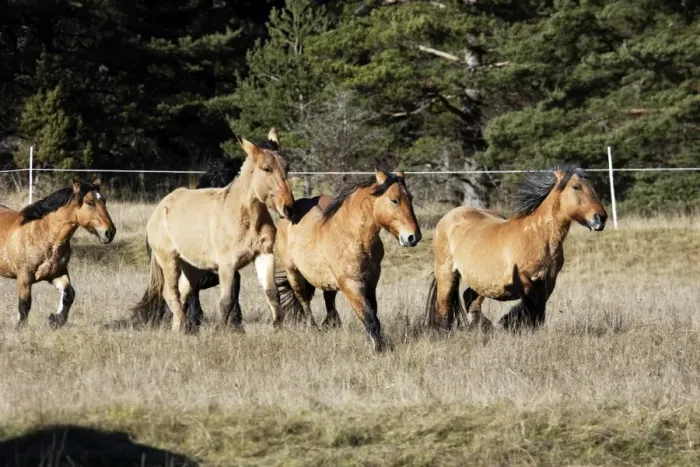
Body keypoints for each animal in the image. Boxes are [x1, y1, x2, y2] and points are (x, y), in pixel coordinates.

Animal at [0, 180, 116, 329]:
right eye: (90, 202)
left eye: (104, 201)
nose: (110, 232)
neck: (42, 233)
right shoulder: (24, 276)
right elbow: (24, 304)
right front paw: (21, 327)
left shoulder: (57, 273)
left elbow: (69, 294)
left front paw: (55, 320)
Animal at [129, 156, 244, 328]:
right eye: (211, 182)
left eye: (231, 178)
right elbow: (194, 303)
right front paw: (191, 324)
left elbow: (233, 295)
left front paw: (236, 325)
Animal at [275, 169, 421, 351]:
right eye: (394, 200)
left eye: (411, 198)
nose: (413, 237)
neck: (352, 237)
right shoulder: (351, 285)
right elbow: (370, 318)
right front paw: (378, 349)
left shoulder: (371, 283)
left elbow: (373, 314)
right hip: (293, 273)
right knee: (304, 300)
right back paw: (313, 328)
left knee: (329, 299)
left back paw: (332, 325)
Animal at [425, 166, 607, 332]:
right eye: (576, 187)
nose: (601, 218)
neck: (538, 236)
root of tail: (448, 216)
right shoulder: (517, 278)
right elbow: (531, 298)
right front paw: (509, 321)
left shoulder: (549, 279)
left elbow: (539, 303)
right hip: (446, 274)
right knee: (444, 304)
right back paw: (445, 330)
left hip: (479, 281)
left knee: (469, 297)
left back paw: (482, 326)